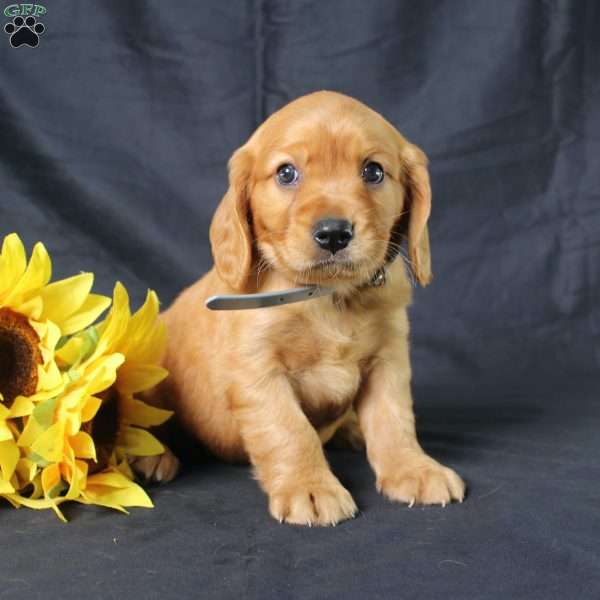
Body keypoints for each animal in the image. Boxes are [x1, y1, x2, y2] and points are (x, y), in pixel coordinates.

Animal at [139, 90, 464, 524]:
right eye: (286, 173)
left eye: (374, 172)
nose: (334, 233)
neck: (328, 296)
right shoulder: (258, 371)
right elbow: (290, 431)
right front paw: (309, 487)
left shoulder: (389, 359)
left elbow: (394, 419)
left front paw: (413, 469)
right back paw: (152, 456)